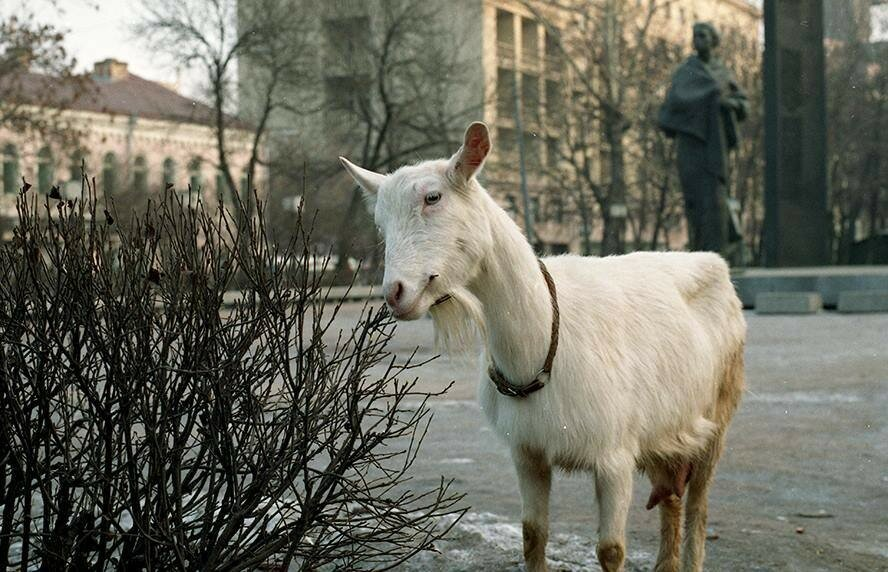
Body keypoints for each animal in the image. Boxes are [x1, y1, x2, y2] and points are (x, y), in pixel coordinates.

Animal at [344, 123, 744, 568]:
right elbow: (532, 534)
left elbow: (611, 550)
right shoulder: (528, 452)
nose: (396, 293)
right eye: (380, 221)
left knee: (698, 506)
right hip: (668, 429)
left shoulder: (615, 455)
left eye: (433, 197)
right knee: (671, 498)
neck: (545, 333)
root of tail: (715, 264)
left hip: (719, 413)